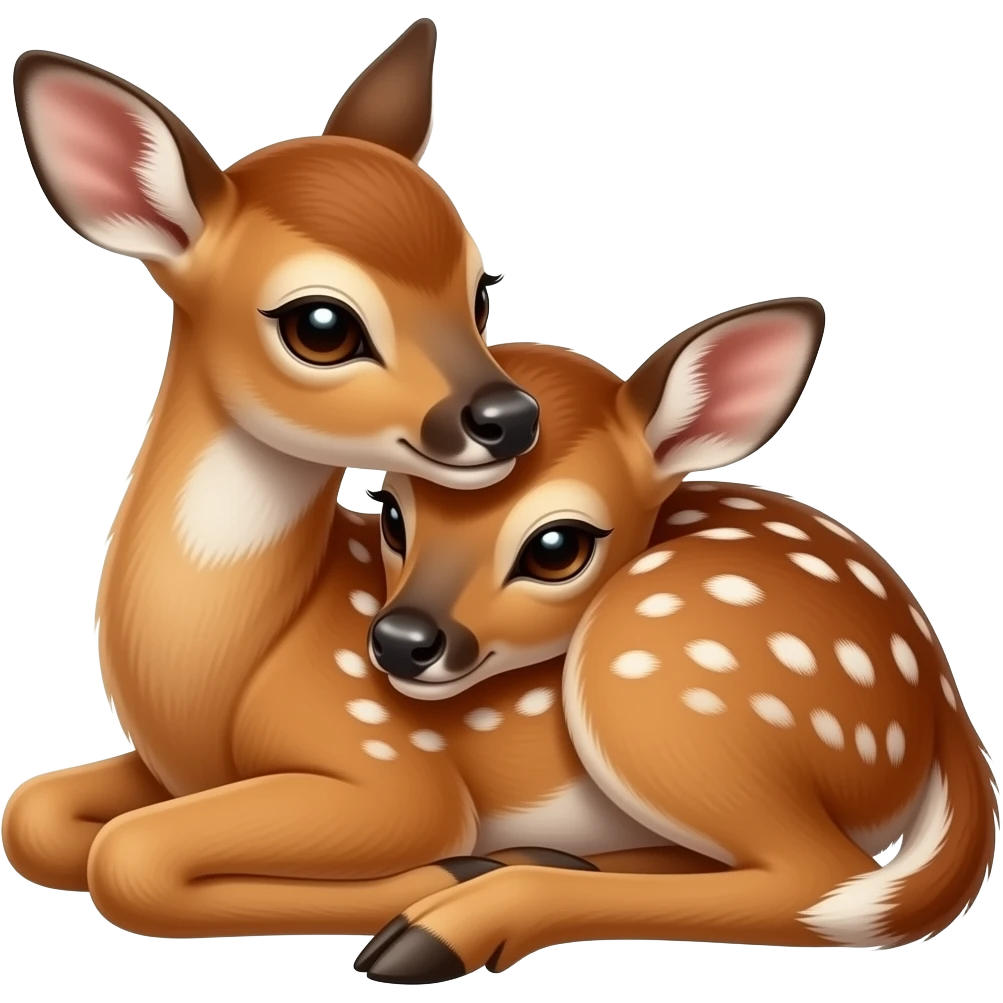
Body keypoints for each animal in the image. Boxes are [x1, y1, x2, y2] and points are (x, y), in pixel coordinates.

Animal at [3, 20, 559, 938]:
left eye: (481, 289)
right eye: (320, 325)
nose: (509, 416)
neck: (208, 682)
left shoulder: (391, 765)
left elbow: (128, 856)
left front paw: (453, 871)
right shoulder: (170, 770)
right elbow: (36, 814)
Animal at [329, 298, 998, 983]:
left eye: (557, 548)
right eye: (390, 512)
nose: (401, 640)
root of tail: (942, 704)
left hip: (661, 697)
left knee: (819, 882)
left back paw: (440, 927)